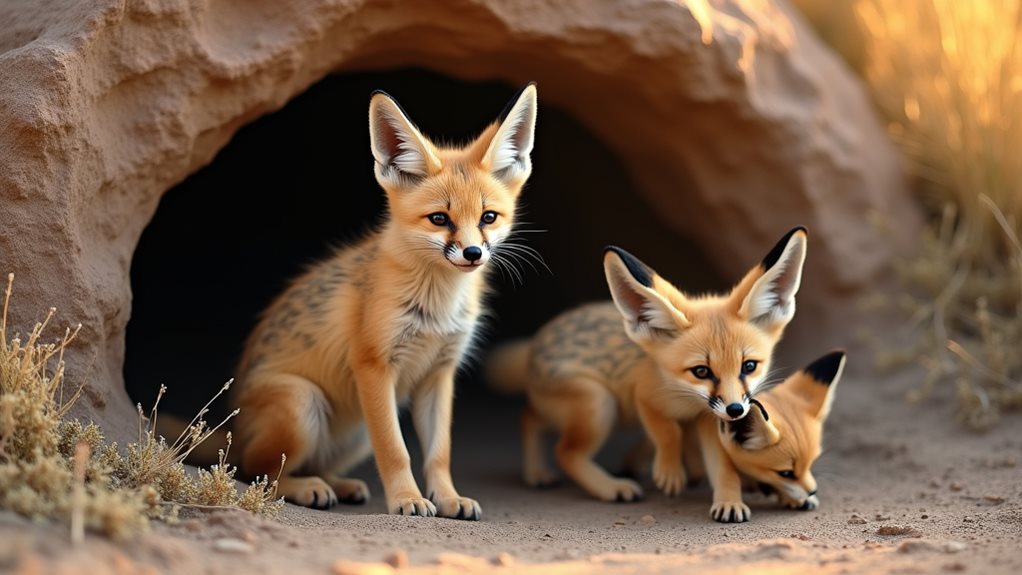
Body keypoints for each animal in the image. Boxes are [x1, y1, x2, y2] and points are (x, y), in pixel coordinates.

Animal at [227, 83, 539, 519]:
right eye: (439, 219)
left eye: (488, 217)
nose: (473, 253)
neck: (436, 308)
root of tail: (231, 433)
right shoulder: (373, 366)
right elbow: (395, 450)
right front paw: (408, 499)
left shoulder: (439, 373)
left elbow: (439, 454)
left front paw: (448, 499)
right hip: (304, 403)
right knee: (256, 471)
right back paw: (307, 488)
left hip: (354, 429)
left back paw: (338, 484)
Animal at [486, 227, 808, 521]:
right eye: (701, 371)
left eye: (748, 366)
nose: (736, 410)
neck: (687, 401)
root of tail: (538, 341)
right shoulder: (645, 396)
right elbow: (667, 431)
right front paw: (669, 472)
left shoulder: (708, 419)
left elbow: (723, 467)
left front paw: (729, 501)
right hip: (600, 404)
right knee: (564, 451)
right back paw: (609, 486)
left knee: (529, 416)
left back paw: (538, 471)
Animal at [679, 349, 846, 522]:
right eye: (786, 473)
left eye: (811, 463)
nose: (813, 491)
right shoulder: (711, 437)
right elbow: (724, 471)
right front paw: (730, 502)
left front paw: (792, 497)